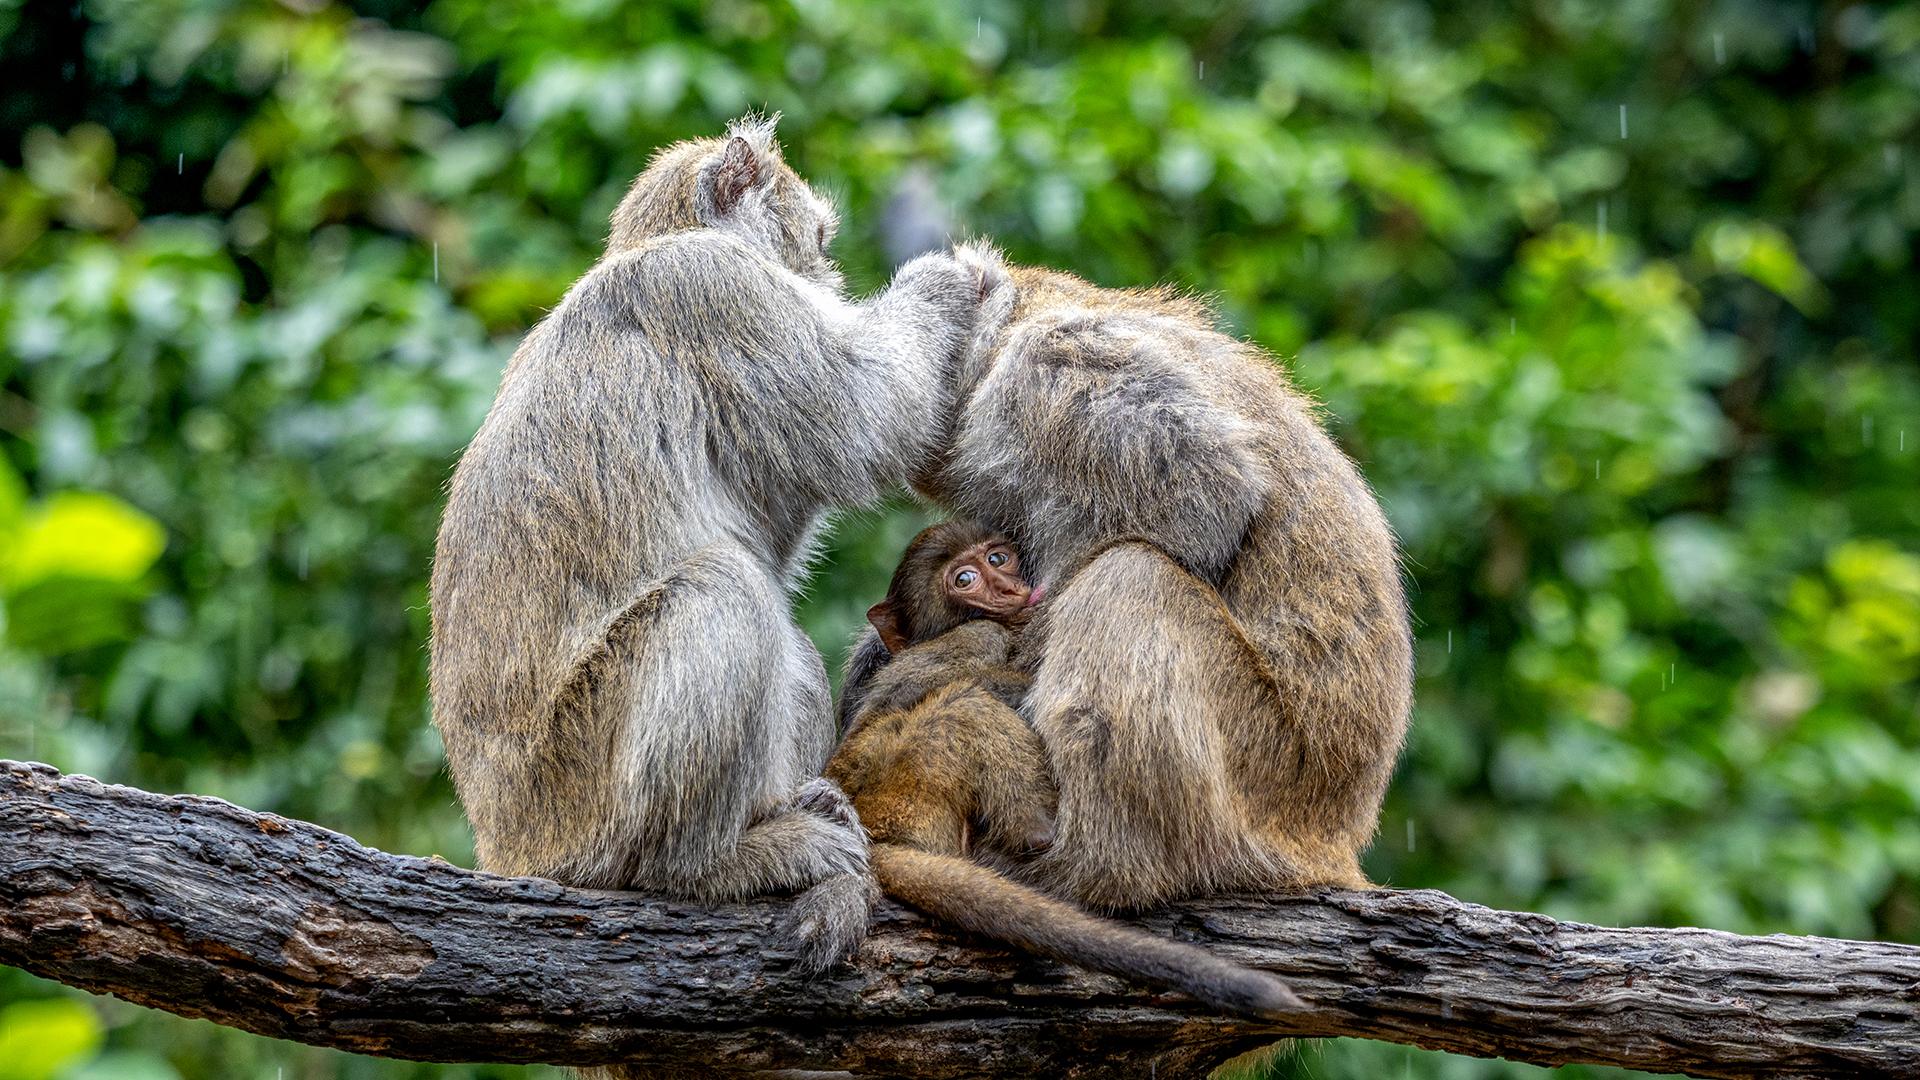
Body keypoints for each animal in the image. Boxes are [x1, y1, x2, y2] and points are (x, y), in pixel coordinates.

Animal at [426, 115, 983, 968]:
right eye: (818, 236)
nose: (827, 276)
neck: (655, 242)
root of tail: (509, 849)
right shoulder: (714, 289)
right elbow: (866, 416)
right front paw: (943, 281)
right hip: (581, 795)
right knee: (724, 588)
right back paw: (700, 864)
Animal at [829, 518, 1305, 1014]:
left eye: (998, 558)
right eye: (965, 579)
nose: (1010, 587)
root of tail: (875, 822)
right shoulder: (981, 635)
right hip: (909, 780)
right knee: (961, 708)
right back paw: (1038, 831)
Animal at [840, 247, 1413, 910]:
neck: (1012, 330)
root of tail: (1334, 838)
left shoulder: (1059, 370)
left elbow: (1208, 503)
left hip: (1266, 774)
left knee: (1131, 574)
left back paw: (1092, 866)